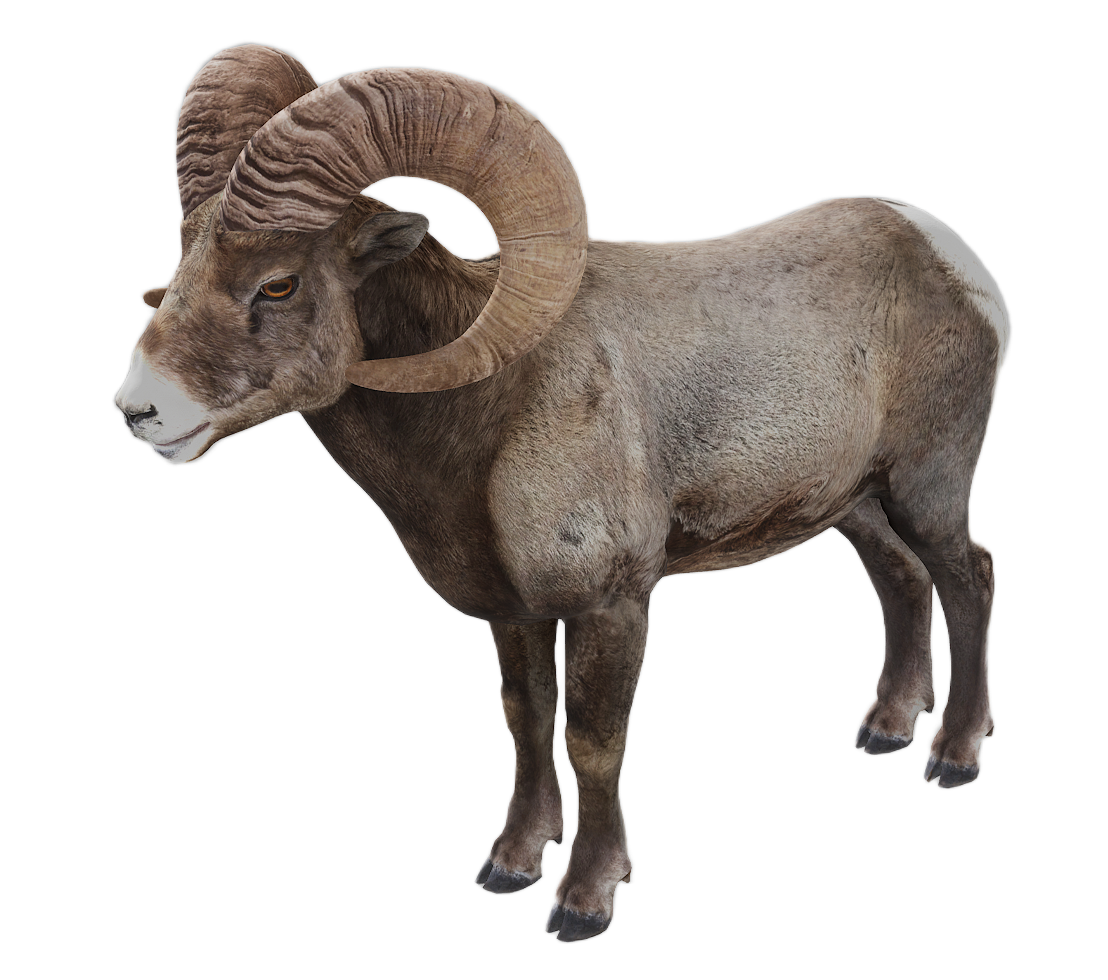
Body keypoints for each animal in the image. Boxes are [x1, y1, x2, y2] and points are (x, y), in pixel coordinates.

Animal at [113, 43, 1012, 943]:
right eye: (179, 268)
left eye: (278, 284)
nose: (139, 411)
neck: (489, 416)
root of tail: (947, 255)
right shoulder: (512, 613)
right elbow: (526, 718)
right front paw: (512, 864)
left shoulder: (611, 606)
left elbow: (592, 742)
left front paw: (584, 898)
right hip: (858, 507)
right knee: (901, 582)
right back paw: (886, 731)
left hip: (925, 490)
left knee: (969, 575)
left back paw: (952, 757)